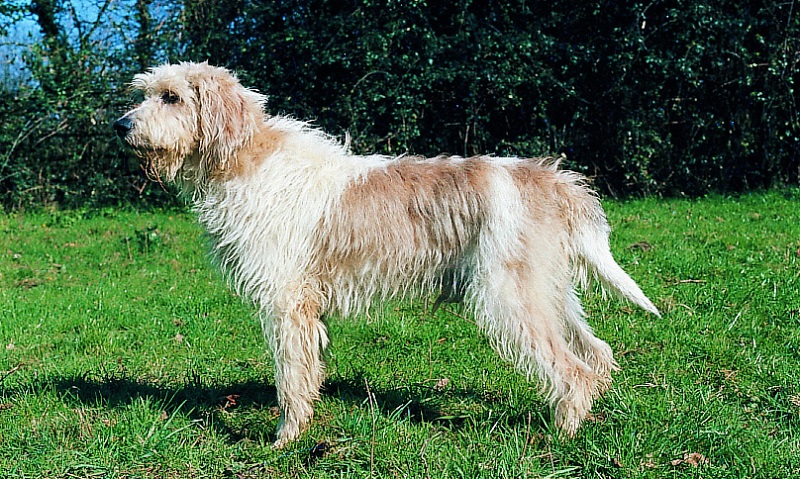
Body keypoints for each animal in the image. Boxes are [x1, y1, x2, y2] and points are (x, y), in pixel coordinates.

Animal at [114, 62, 664, 448]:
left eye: (171, 96)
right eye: (143, 94)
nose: (120, 125)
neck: (247, 157)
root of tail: (550, 178)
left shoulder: (287, 304)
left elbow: (291, 379)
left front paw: (286, 440)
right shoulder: (301, 309)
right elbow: (307, 373)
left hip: (511, 298)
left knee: (574, 369)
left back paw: (559, 437)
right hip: (549, 294)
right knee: (598, 355)